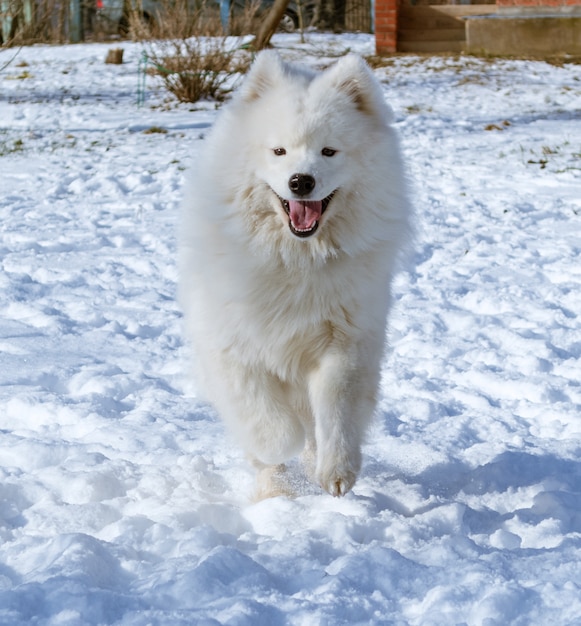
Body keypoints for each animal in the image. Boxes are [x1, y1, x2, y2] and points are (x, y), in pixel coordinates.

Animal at [179, 51, 410, 498]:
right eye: (279, 151)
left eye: (329, 151)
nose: (301, 181)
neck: (296, 257)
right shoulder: (233, 350)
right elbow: (270, 425)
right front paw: (284, 449)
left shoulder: (346, 344)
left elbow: (336, 412)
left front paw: (336, 471)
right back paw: (275, 492)